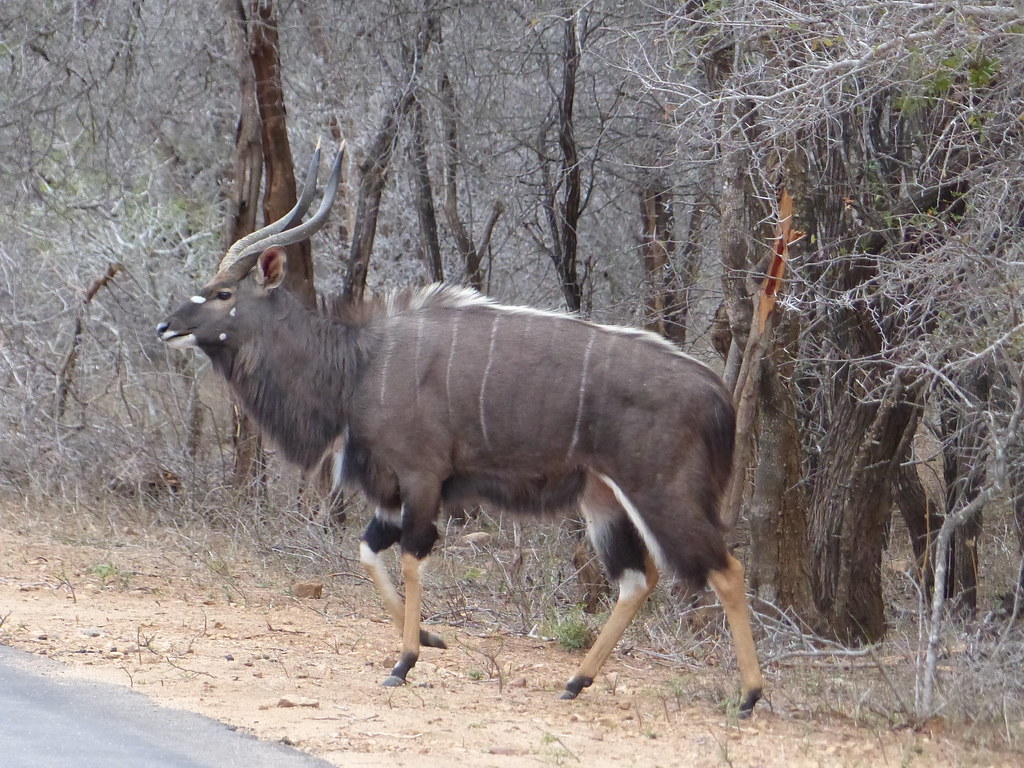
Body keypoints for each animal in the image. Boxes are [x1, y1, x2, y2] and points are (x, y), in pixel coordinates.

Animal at [159, 143, 765, 716]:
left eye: (223, 293)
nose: (167, 327)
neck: (358, 366)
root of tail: (716, 394)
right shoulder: (391, 495)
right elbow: (368, 551)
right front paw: (430, 637)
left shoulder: (422, 479)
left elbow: (409, 557)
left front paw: (404, 661)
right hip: (602, 498)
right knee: (638, 580)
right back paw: (575, 682)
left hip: (661, 494)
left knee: (728, 570)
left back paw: (749, 696)